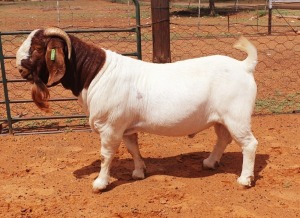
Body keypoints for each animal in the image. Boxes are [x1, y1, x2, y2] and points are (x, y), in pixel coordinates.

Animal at [17, 27, 258, 192]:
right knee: (223, 138)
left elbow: (105, 155)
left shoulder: (110, 126)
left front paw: (100, 183)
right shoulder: (125, 126)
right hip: (221, 118)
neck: (95, 74)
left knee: (249, 144)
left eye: (37, 48)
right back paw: (209, 162)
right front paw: (139, 172)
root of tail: (243, 66)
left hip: (237, 116)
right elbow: (133, 148)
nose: (19, 68)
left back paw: (244, 179)